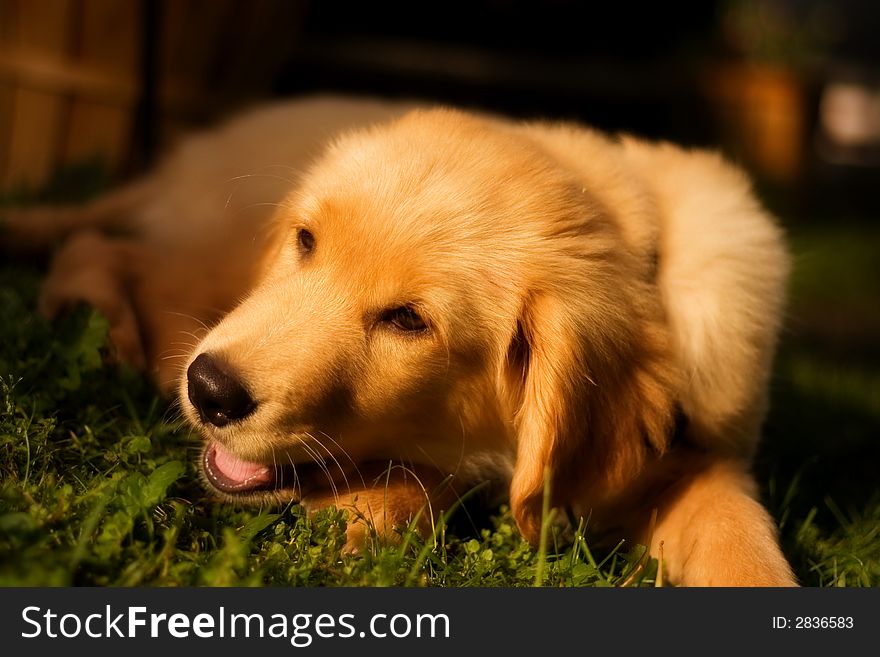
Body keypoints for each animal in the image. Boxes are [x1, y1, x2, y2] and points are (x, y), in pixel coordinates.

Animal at [1, 93, 796, 584]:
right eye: (306, 242)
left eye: (409, 321)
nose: (211, 391)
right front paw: (376, 504)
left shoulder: (704, 448)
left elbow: (737, 530)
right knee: (103, 248)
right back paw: (112, 334)